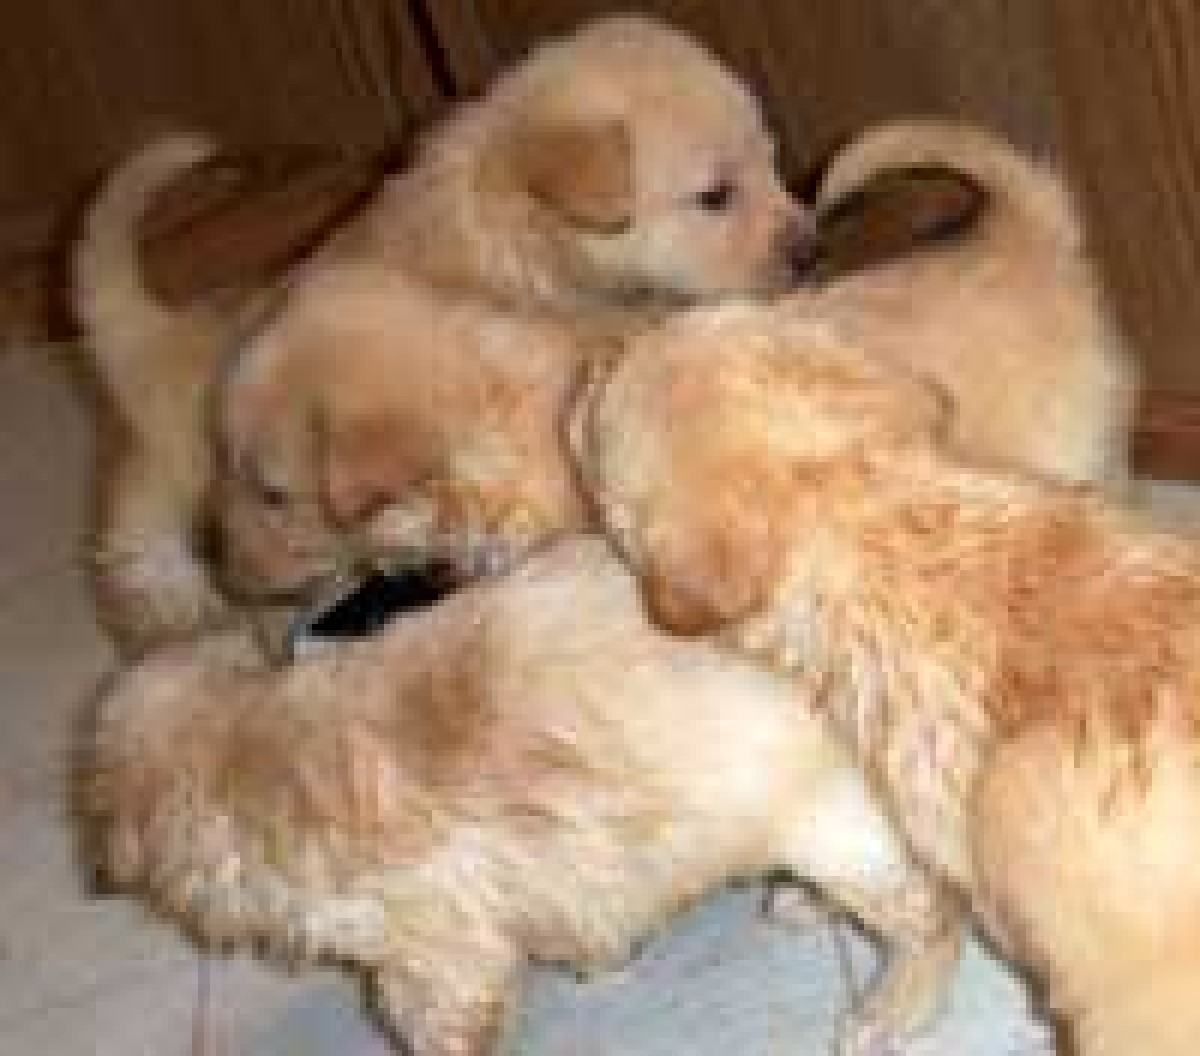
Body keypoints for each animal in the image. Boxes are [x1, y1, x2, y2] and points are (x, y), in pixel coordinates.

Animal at [82, 535, 947, 1056]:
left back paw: (887, 1013)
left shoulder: (435, 963)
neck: (259, 748)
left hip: (830, 823)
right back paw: (801, 904)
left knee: (929, 917)